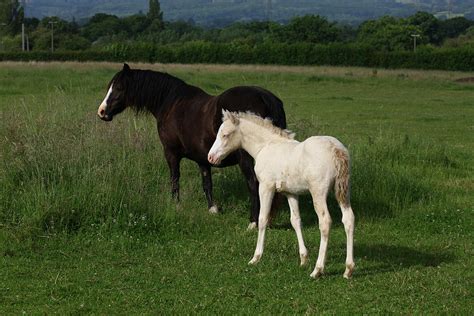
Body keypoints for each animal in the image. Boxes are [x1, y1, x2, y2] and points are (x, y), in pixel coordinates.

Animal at [97, 64, 286, 227]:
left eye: (119, 87)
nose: (102, 111)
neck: (171, 103)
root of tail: (264, 97)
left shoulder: (171, 153)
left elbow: (175, 178)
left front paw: (176, 205)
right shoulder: (203, 158)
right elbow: (207, 183)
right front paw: (212, 209)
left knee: (253, 184)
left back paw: (253, 222)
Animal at [208, 111, 356, 278]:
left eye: (225, 135)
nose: (210, 157)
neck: (266, 146)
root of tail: (336, 149)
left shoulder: (266, 187)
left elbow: (262, 219)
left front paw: (256, 257)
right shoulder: (290, 193)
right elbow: (295, 221)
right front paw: (303, 259)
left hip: (318, 193)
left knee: (325, 222)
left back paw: (318, 269)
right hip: (343, 191)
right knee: (349, 219)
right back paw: (348, 269)